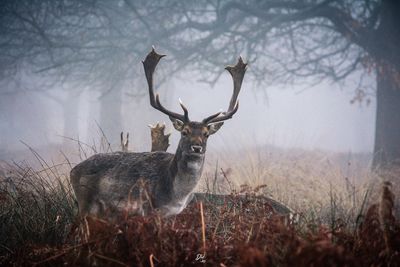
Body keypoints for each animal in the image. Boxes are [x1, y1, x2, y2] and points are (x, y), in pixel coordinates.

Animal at [71, 48, 247, 219]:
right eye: (185, 132)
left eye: (206, 134)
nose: (196, 148)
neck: (176, 194)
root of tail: (73, 171)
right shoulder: (148, 208)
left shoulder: (173, 214)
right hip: (84, 203)